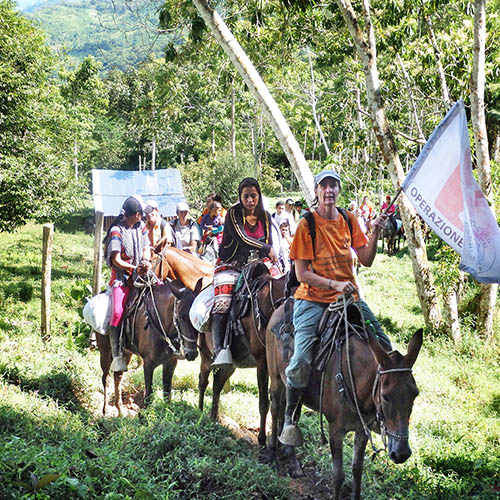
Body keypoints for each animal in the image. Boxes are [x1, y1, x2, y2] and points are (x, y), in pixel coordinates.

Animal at [96, 276, 198, 416]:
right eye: (181, 317)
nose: (192, 354)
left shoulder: (171, 363)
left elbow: (167, 394)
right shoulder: (148, 364)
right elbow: (148, 395)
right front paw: (144, 418)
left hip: (126, 353)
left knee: (118, 376)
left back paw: (120, 409)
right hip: (105, 351)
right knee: (106, 378)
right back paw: (105, 409)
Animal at [197, 266, 288, 446]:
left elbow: (281, 405)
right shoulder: (262, 363)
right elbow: (264, 402)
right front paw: (262, 439)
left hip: (231, 365)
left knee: (217, 384)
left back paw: (213, 417)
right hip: (206, 355)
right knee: (203, 381)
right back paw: (200, 412)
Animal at [266, 298, 422, 498]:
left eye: (415, 394)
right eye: (385, 397)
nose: (401, 453)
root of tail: (280, 307)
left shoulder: (362, 430)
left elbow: (357, 470)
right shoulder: (335, 430)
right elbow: (338, 475)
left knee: (291, 416)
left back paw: (289, 456)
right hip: (277, 379)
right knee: (276, 410)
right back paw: (272, 452)